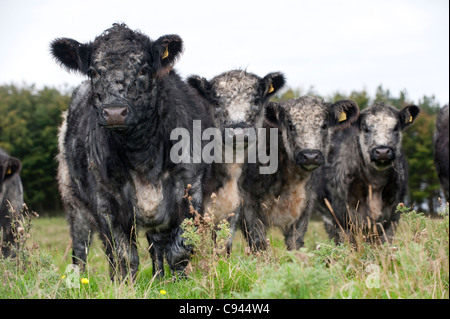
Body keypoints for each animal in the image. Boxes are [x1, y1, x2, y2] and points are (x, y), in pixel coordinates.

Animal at [51, 23, 214, 280]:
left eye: (144, 69)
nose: (115, 112)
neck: (141, 153)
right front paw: (124, 284)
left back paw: (159, 279)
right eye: (93, 72)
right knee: (80, 247)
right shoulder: (106, 201)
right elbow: (123, 258)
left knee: (157, 246)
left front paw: (181, 283)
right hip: (72, 200)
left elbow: (179, 252)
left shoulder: (189, 191)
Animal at [239, 96, 358, 251]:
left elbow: (295, 242)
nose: (310, 155)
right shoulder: (247, 203)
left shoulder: (305, 205)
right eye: (290, 125)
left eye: (324, 125)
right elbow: (258, 242)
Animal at [314, 102, 420, 245]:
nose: (382, 151)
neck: (375, 185)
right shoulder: (343, 219)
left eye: (395, 128)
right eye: (365, 128)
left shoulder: (392, 218)